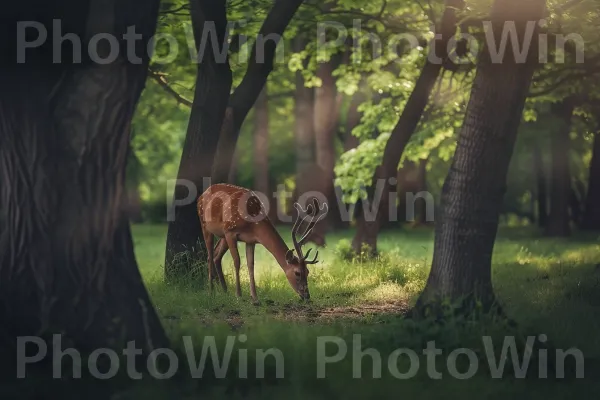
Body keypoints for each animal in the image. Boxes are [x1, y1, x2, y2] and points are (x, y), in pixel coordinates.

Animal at [197, 184, 328, 304]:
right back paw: (211, 291)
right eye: (297, 273)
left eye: (308, 271)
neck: (252, 223)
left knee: (216, 255)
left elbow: (251, 264)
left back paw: (224, 290)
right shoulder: (230, 231)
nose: (307, 296)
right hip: (206, 225)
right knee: (209, 255)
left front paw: (255, 298)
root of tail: (201, 195)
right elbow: (237, 261)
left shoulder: (250, 240)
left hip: (222, 236)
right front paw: (239, 295)